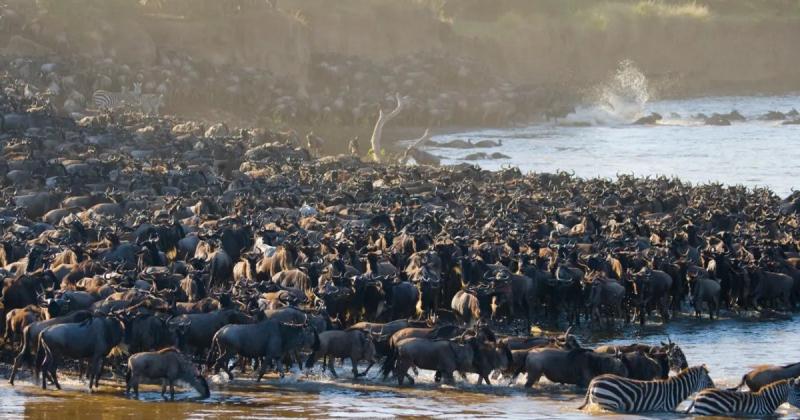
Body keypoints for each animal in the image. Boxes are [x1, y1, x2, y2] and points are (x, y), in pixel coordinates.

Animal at [580, 364, 716, 414]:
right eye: (709, 381)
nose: (714, 390)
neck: (674, 391)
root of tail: (594, 380)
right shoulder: (663, 409)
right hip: (609, 403)